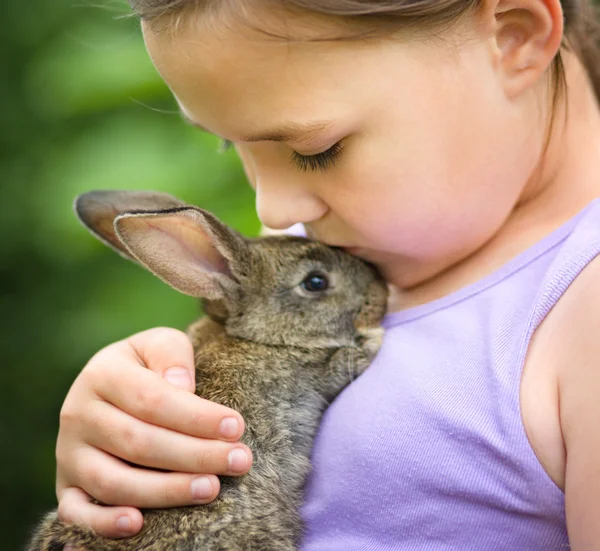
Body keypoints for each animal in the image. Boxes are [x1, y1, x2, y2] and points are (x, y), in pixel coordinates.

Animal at [27, 191, 390, 551]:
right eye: (315, 282)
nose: (380, 288)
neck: (259, 338)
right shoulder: (308, 373)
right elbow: (339, 364)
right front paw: (372, 341)